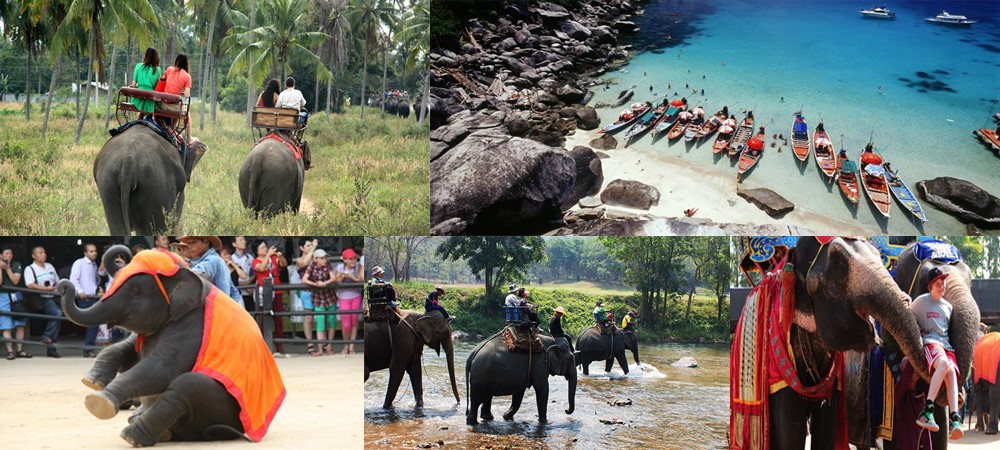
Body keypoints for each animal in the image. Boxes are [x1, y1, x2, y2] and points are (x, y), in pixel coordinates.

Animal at [59, 246, 286, 446]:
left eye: (135, 291)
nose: (63, 285)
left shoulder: (192, 327)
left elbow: (163, 367)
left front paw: (98, 401)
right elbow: (129, 349)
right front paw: (91, 382)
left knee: (185, 386)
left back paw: (132, 435)